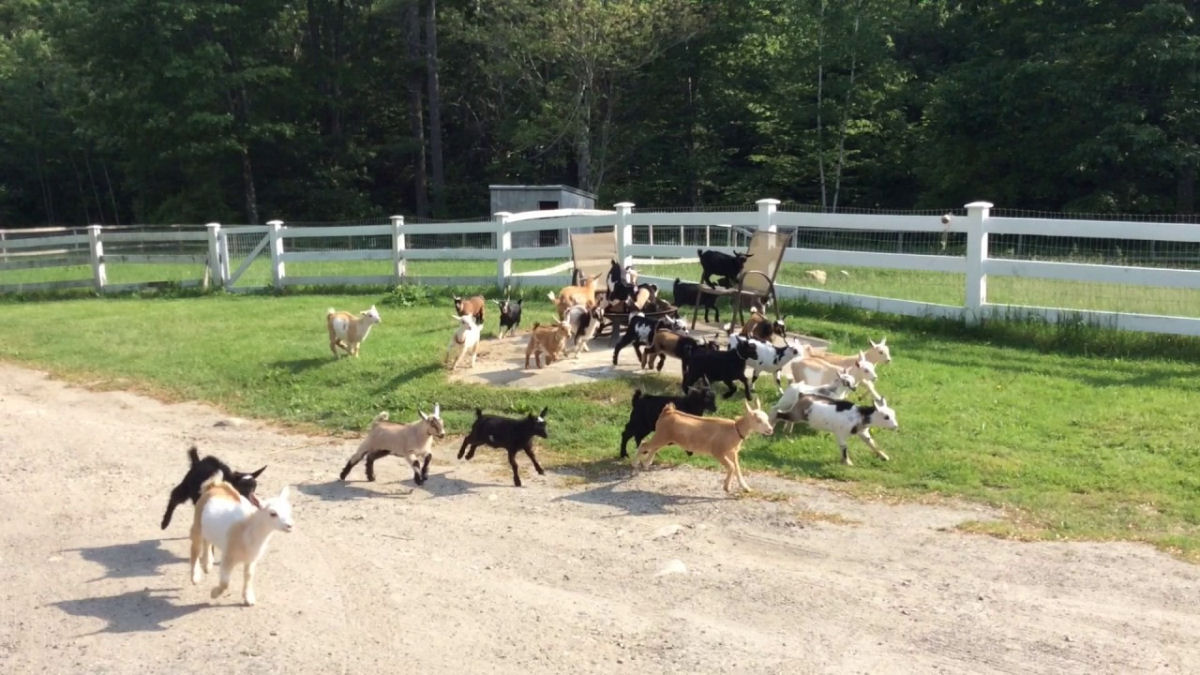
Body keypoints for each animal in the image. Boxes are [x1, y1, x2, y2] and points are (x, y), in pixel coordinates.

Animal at [192, 473, 297, 605]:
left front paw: (248, 597)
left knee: (207, 541)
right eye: (273, 513)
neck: (248, 528)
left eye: (289, 511)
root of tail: (215, 486)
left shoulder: (251, 558)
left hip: (208, 528)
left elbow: (249, 576)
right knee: (195, 549)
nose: (290, 525)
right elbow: (225, 582)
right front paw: (214, 594)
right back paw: (195, 577)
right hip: (197, 524)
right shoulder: (228, 557)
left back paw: (207, 565)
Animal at [633, 396, 772, 492]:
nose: (770, 430)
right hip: (662, 435)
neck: (735, 429)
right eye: (758, 420)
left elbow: (737, 468)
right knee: (644, 444)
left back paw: (646, 464)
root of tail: (668, 411)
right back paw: (635, 463)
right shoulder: (718, 452)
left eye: (767, 418)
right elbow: (732, 467)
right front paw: (726, 487)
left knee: (654, 447)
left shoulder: (733, 452)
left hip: (665, 437)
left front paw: (746, 488)